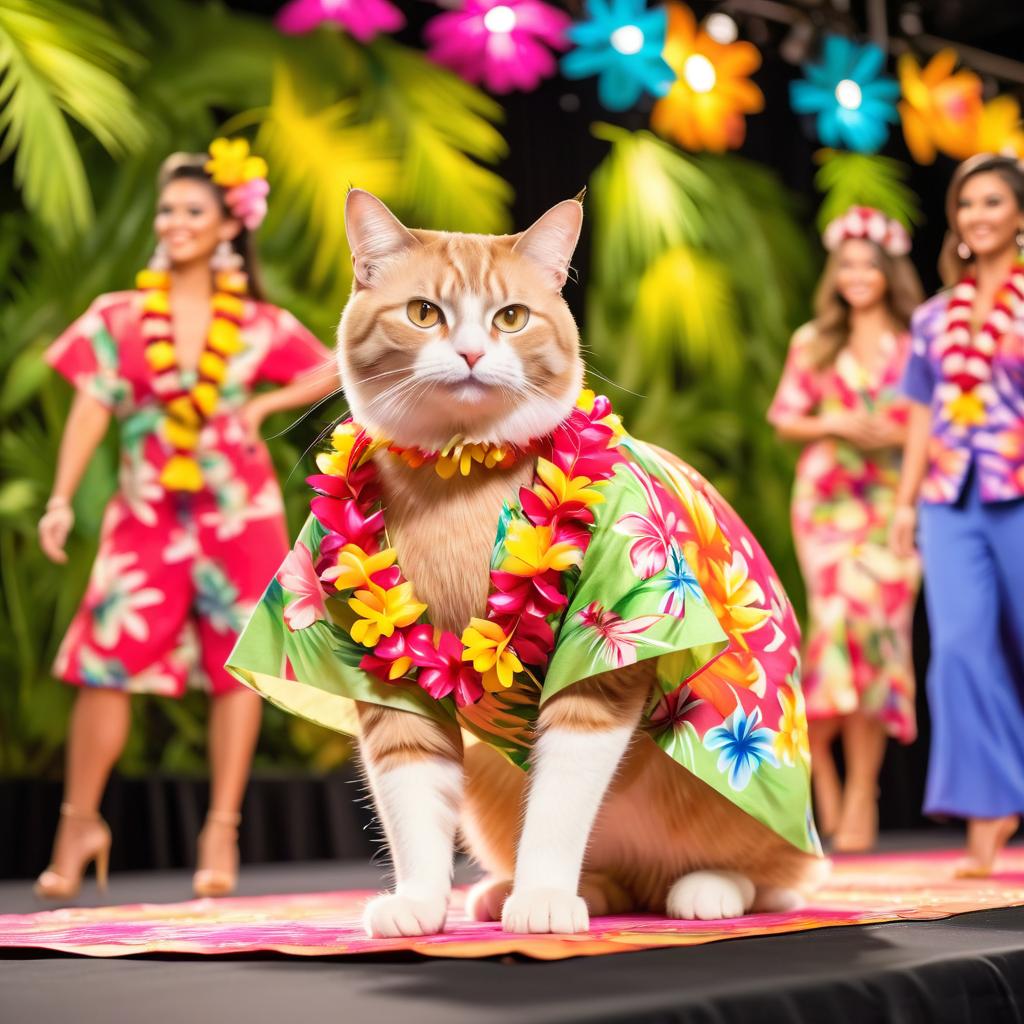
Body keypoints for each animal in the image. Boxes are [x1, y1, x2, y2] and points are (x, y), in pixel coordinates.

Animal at [337, 190, 823, 937]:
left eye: (511, 317)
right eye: (424, 313)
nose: (472, 352)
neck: (458, 487)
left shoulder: (606, 652)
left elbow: (560, 802)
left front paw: (541, 896)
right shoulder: (391, 681)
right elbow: (411, 793)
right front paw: (419, 902)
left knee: (776, 878)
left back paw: (709, 888)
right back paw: (550, 888)